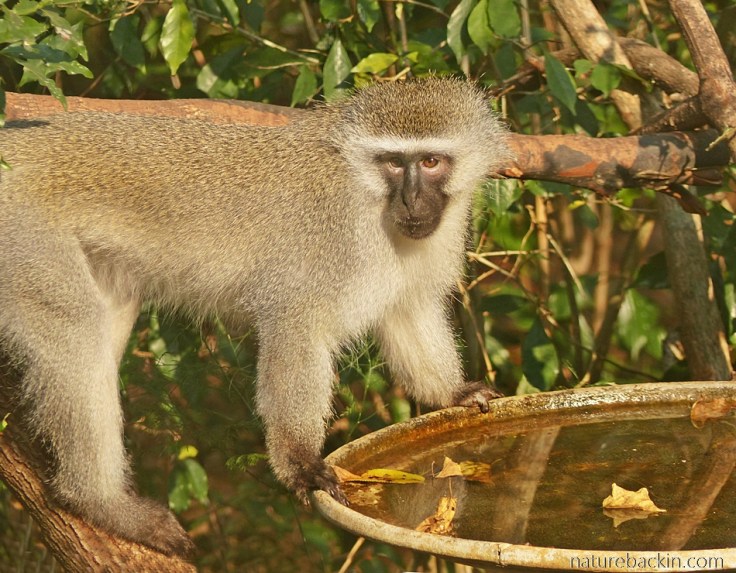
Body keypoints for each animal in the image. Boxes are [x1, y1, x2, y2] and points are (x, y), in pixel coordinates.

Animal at [0, 77, 511, 555]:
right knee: (75, 324)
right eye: (393, 163)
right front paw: (300, 462)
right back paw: (98, 501)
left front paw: (454, 392)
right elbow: (296, 327)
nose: (410, 201)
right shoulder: (328, 239)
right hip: (22, 233)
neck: (369, 196)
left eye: (431, 162)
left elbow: (408, 311)